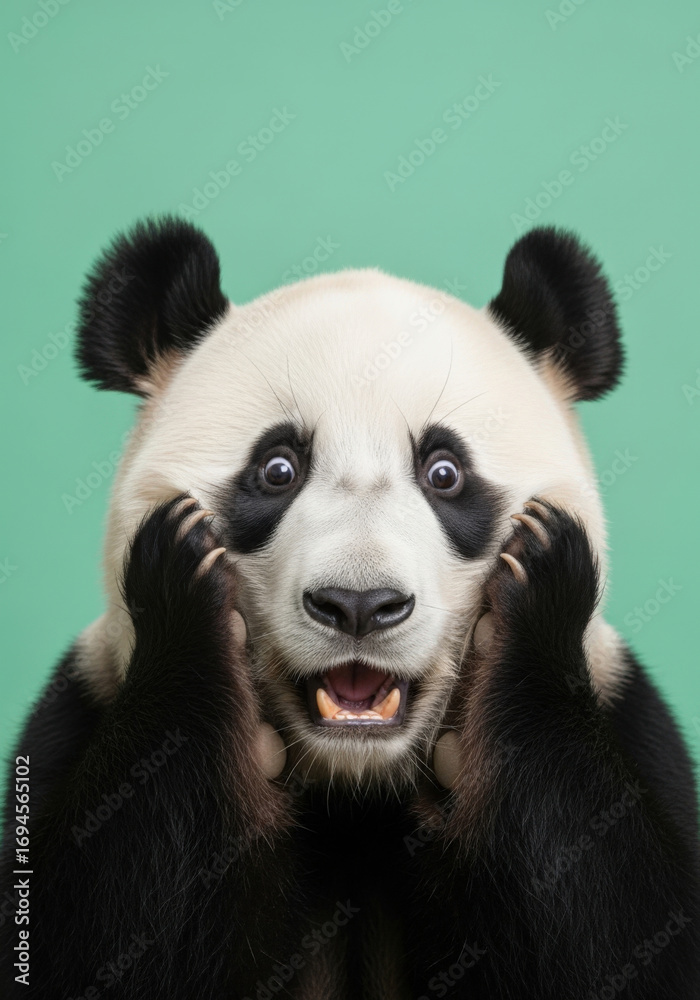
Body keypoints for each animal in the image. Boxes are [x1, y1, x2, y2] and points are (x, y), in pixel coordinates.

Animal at [1, 218, 698, 999]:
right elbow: (97, 921)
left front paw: (543, 577)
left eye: (444, 473)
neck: (355, 790)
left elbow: (618, 927)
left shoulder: (629, 723)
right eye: (277, 469)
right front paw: (180, 578)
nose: (359, 604)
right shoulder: (80, 714)